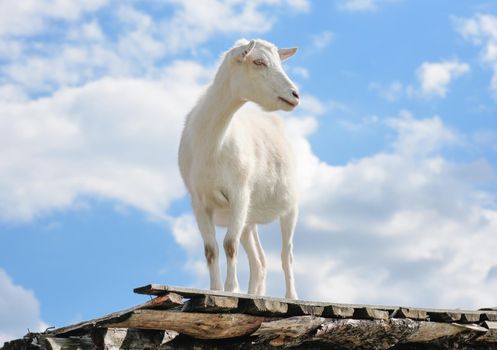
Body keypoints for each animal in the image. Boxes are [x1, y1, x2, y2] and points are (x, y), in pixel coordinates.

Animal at [178, 39, 298, 300]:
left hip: (290, 205)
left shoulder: (239, 192)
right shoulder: (199, 201)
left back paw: (291, 296)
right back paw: (255, 293)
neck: (213, 144)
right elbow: (211, 249)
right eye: (258, 61)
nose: (295, 95)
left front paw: (232, 289)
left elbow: (229, 245)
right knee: (259, 261)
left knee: (287, 253)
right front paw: (215, 289)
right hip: (249, 219)